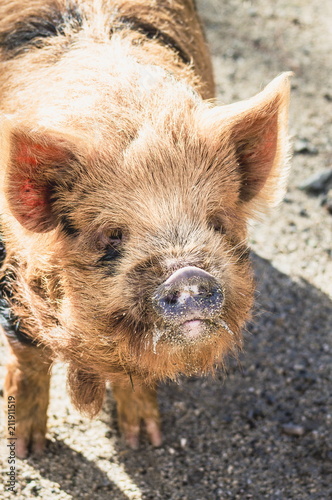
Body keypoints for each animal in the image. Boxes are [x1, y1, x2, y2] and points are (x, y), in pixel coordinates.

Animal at [0, 0, 290, 458]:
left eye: (216, 222)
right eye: (112, 235)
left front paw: (145, 441)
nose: (188, 274)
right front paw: (29, 450)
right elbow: (27, 357)